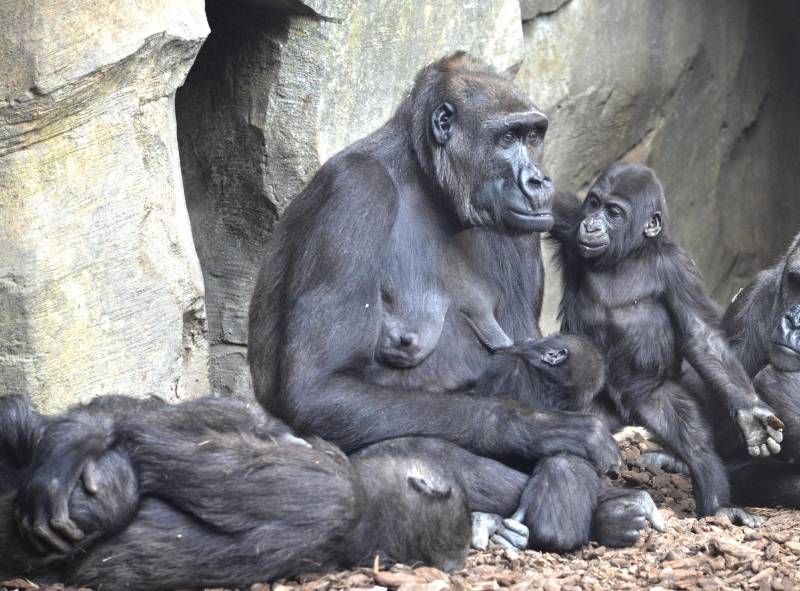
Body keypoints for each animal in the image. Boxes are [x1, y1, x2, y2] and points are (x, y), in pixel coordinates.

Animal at [552, 161, 780, 528]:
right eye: (594, 204)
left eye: (613, 212)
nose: (591, 225)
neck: (628, 255)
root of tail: (624, 413)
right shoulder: (567, 221)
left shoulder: (678, 267)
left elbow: (701, 334)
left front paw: (750, 413)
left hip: (650, 393)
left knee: (694, 438)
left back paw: (718, 505)